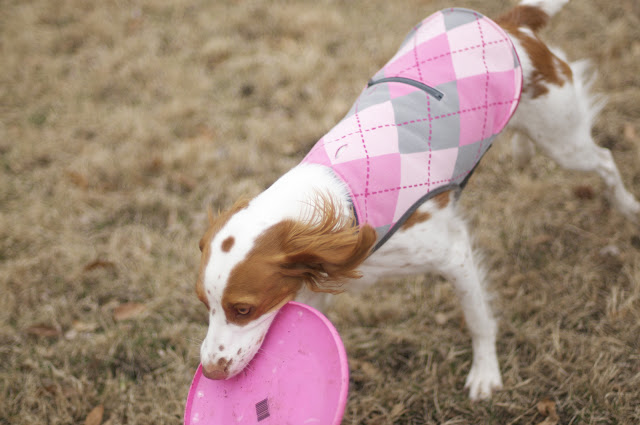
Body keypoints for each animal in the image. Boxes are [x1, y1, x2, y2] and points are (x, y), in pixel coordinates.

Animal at [195, 0, 640, 401]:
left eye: (243, 309)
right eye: (206, 305)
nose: (211, 373)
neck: (339, 203)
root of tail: (509, 22)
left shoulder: (453, 254)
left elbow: (478, 319)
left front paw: (485, 374)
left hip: (563, 140)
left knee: (604, 160)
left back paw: (627, 206)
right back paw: (520, 151)